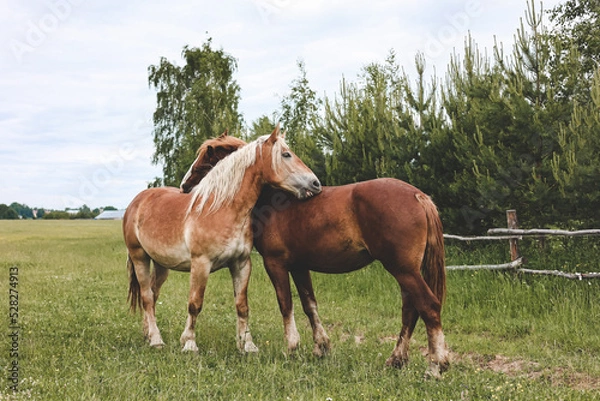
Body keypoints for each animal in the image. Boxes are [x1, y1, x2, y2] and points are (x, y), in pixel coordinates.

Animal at [120, 128, 324, 354]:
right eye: (286, 154)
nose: (315, 183)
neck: (222, 209)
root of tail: (137, 201)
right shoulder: (201, 264)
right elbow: (195, 304)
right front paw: (189, 344)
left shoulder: (241, 264)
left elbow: (242, 306)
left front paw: (248, 345)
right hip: (139, 257)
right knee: (147, 297)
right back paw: (156, 340)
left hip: (161, 264)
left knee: (153, 295)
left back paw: (147, 334)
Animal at [179, 137, 450, 376]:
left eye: (204, 159)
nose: (184, 186)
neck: (273, 199)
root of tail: (418, 196)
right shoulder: (300, 266)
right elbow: (310, 305)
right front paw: (321, 347)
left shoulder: (275, 263)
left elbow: (286, 303)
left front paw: (291, 348)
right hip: (405, 272)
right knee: (410, 310)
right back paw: (396, 360)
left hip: (403, 270)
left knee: (428, 306)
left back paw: (436, 365)